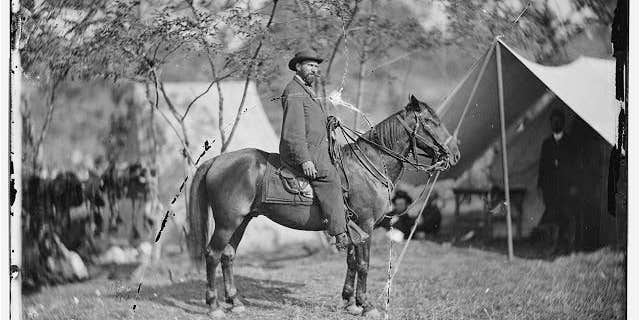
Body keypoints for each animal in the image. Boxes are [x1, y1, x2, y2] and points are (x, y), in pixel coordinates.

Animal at [185, 95, 460, 318]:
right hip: (227, 222)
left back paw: (235, 302)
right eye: (430, 121)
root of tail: (217, 161)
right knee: (212, 255)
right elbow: (363, 264)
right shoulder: (365, 225)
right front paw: (366, 305)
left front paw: (350, 302)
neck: (369, 164)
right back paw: (214, 306)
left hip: (242, 221)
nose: (455, 154)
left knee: (228, 256)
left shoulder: (353, 228)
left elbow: (352, 261)